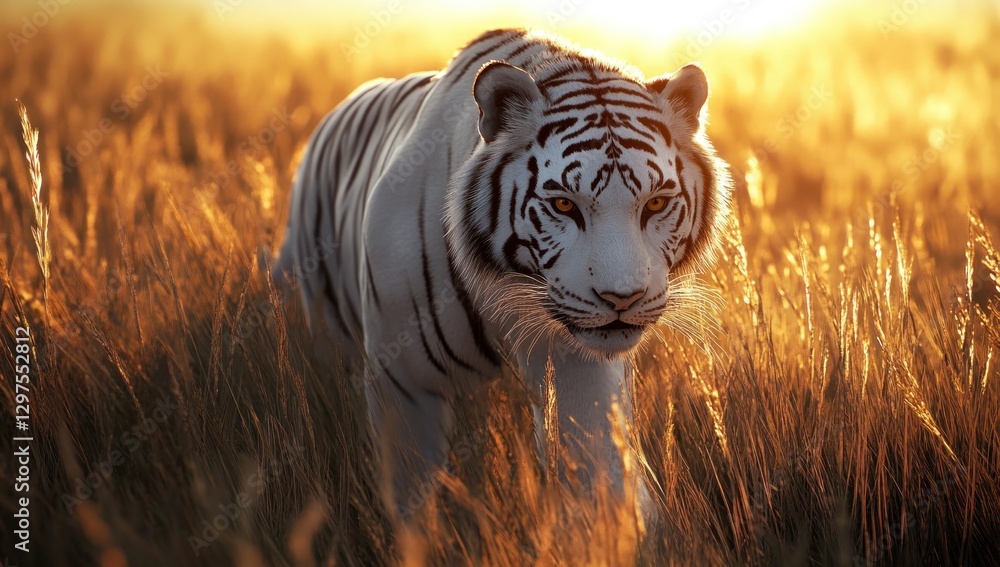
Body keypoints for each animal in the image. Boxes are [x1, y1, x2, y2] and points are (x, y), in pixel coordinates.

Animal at [273, 28, 731, 520]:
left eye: (656, 203)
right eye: (564, 204)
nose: (622, 299)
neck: (501, 284)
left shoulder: (576, 362)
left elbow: (598, 472)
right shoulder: (404, 382)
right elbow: (412, 501)